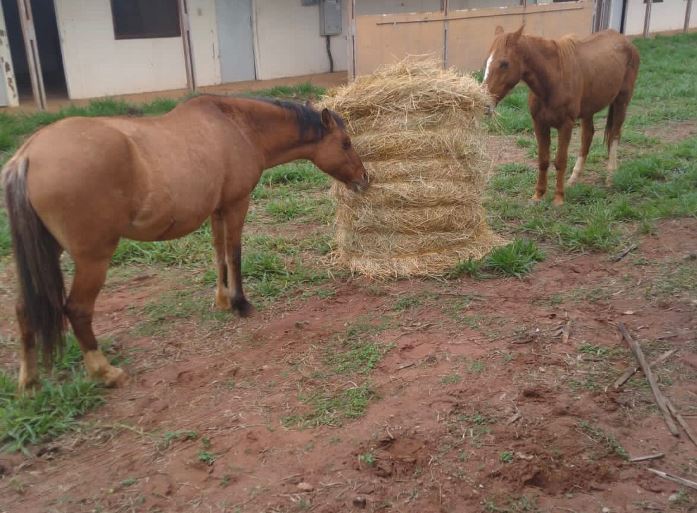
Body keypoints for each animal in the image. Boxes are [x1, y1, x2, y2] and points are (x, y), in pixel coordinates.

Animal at [2, 95, 368, 392]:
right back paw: (105, 372)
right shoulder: (236, 205)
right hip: (93, 258)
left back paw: (30, 383)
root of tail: (28, 155)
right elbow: (234, 254)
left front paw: (222, 300)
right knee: (77, 309)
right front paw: (241, 303)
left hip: (49, 250)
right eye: (346, 142)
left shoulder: (217, 210)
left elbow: (219, 255)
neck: (237, 126)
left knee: (24, 309)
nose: (365, 179)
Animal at [484, 26, 636, 205]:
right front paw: (538, 195)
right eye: (487, 61)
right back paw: (574, 178)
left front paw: (558, 198)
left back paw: (610, 177)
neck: (555, 79)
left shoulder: (566, 125)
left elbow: (560, 161)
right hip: (589, 110)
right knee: (587, 136)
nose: (485, 104)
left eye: (504, 63)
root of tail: (624, 40)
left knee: (614, 136)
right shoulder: (539, 124)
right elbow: (543, 160)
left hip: (621, 101)